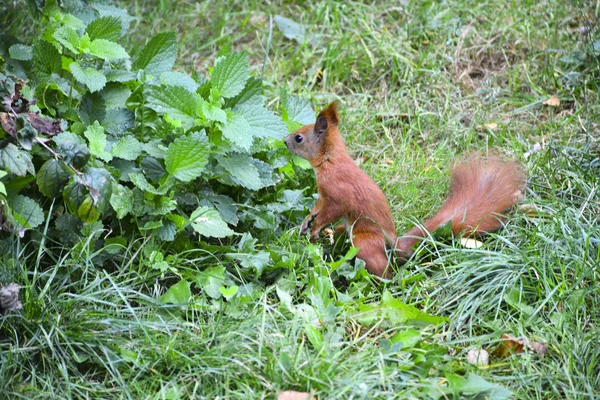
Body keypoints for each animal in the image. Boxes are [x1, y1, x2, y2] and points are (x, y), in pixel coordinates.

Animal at [286, 102, 524, 278]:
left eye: (299, 138)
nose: (284, 141)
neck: (330, 161)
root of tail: (395, 244)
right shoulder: (324, 194)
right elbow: (319, 205)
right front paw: (308, 220)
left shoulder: (338, 193)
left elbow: (332, 210)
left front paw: (316, 227)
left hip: (365, 240)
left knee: (382, 268)